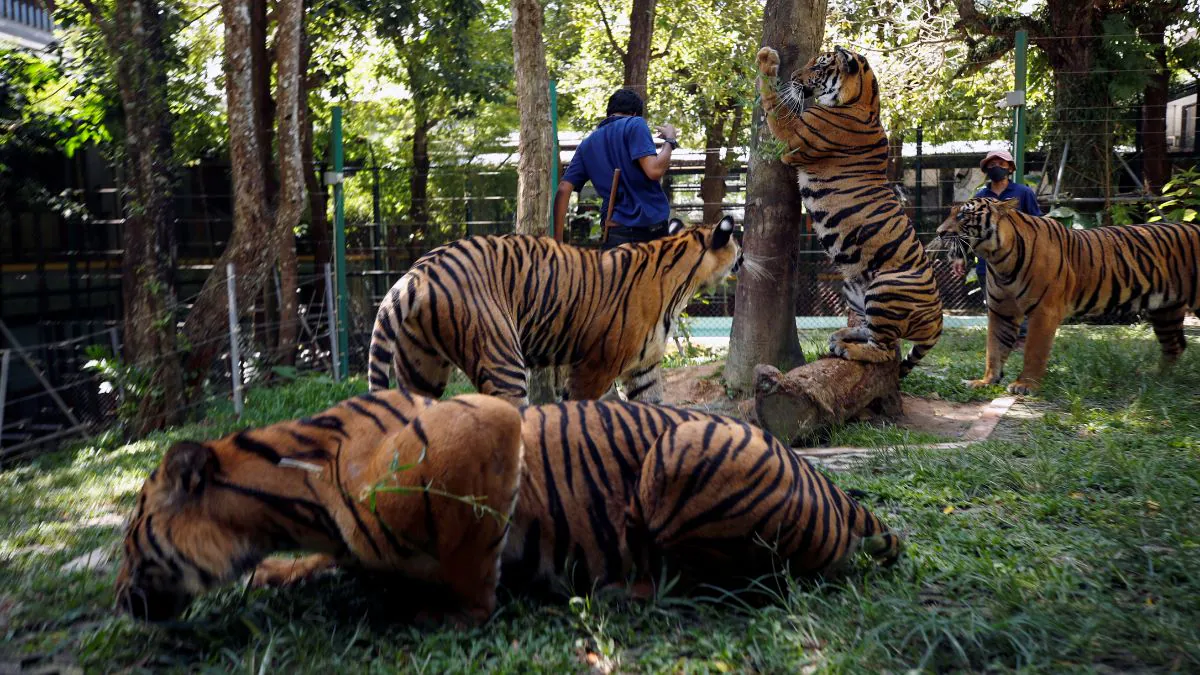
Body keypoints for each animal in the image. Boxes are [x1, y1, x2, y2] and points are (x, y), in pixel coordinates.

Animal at [753, 45, 940, 374]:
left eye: (818, 66)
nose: (794, 75)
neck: (866, 101)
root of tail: (938, 324)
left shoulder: (793, 135)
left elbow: (773, 100)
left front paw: (767, 60)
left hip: (885, 288)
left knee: (884, 350)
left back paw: (846, 347)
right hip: (854, 289)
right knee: (877, 334)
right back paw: (842, 334)